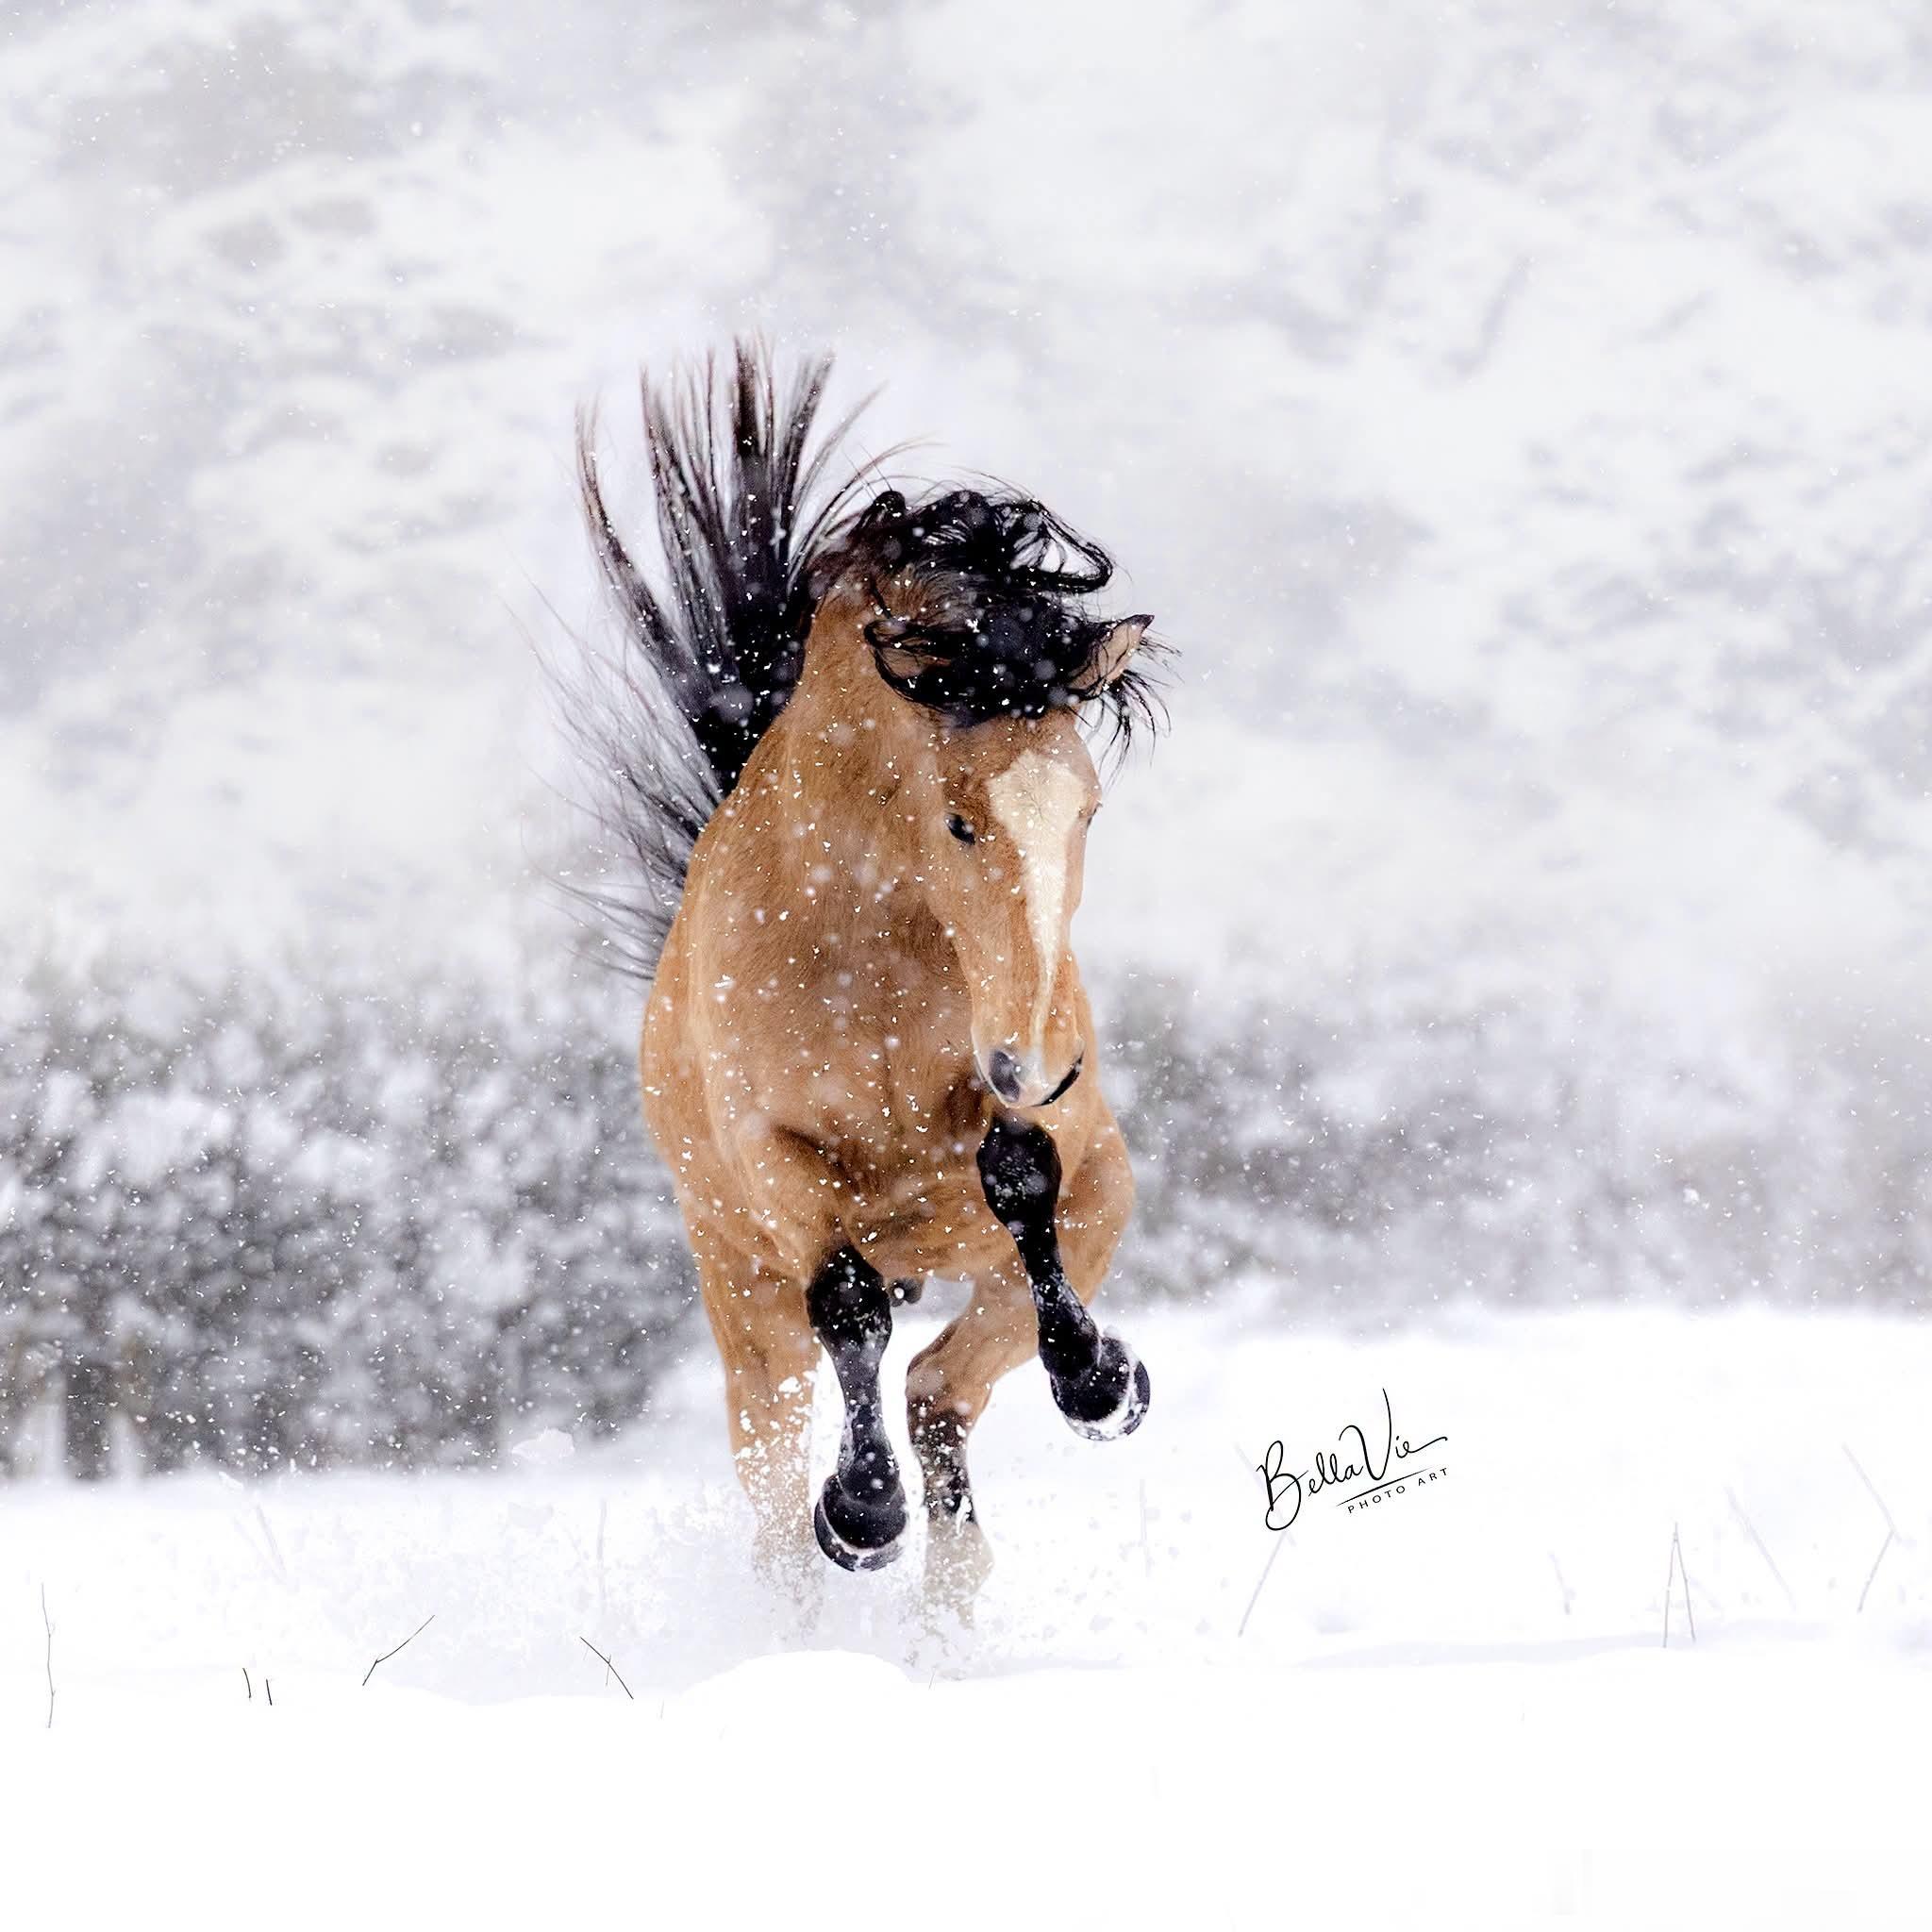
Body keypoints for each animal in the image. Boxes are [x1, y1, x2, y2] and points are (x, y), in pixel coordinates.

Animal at [572, 344, 1164, 1606]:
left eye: (1085, 808)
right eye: (957, 821)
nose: (1035, 1061)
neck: (870, 959)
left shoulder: (1074, 1155)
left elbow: (1022, 1176)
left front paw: (1102, 1381)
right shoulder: (774, 1161)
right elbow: (842, 1300)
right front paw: (860, 1514)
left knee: (940, 1392)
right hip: (740, 1301)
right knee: (785, 1471)